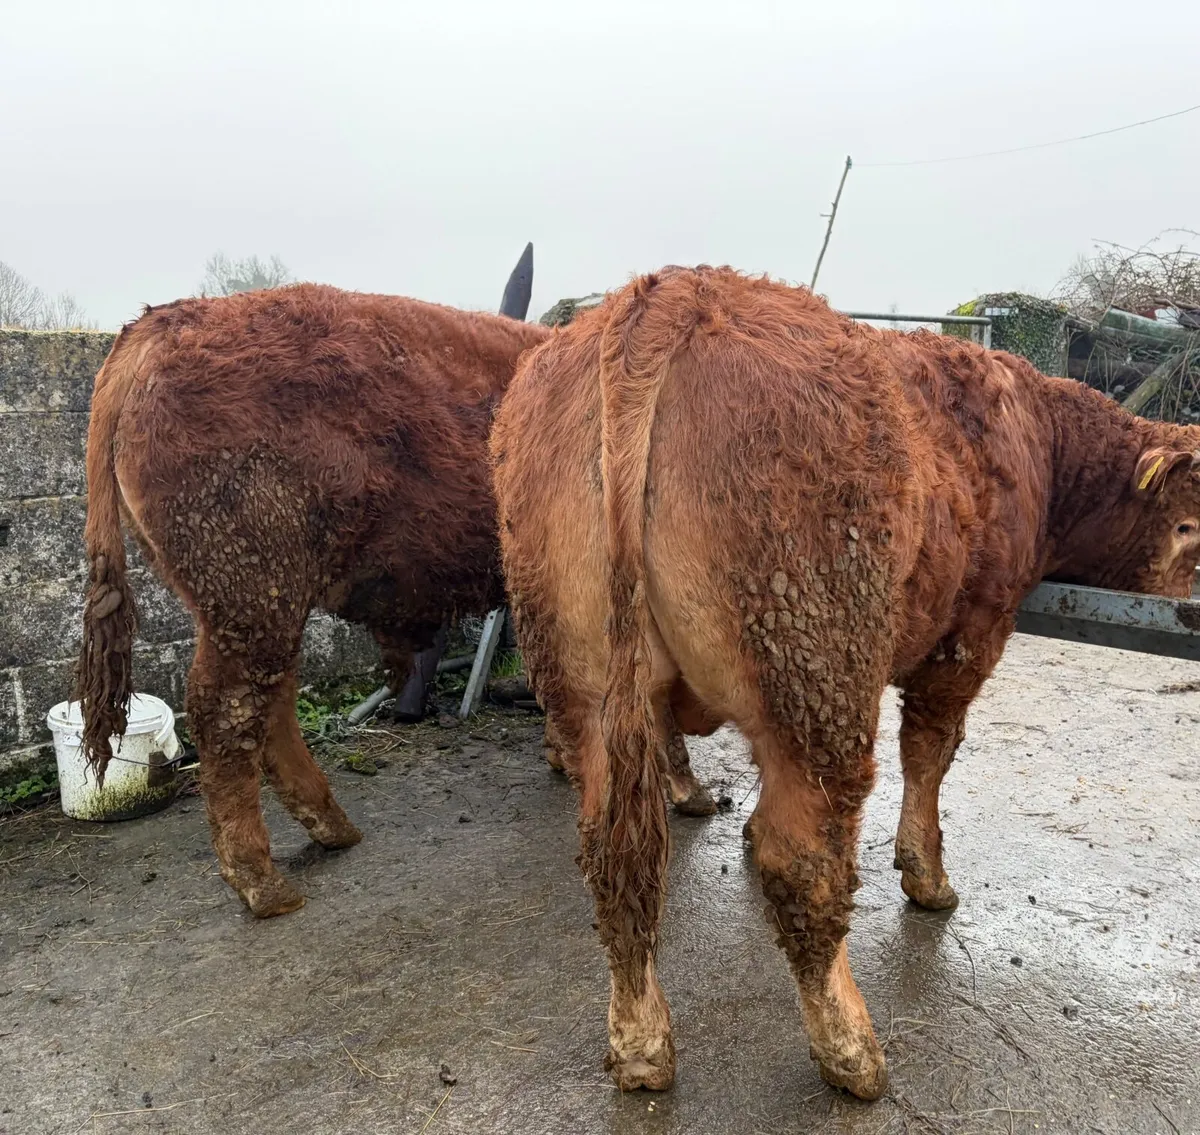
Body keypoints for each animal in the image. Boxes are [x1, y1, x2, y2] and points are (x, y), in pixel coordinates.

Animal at [489, 265, 1200, 1100]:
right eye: (1190, 522)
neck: (1038, 440)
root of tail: (666, 294)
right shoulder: (972, 631)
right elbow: (932, 751)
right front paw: (927, 873)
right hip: (816, 667)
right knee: (801, 859)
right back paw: (850, 1049)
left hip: (589, 683)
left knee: (616, 853)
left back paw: (640, 1043)